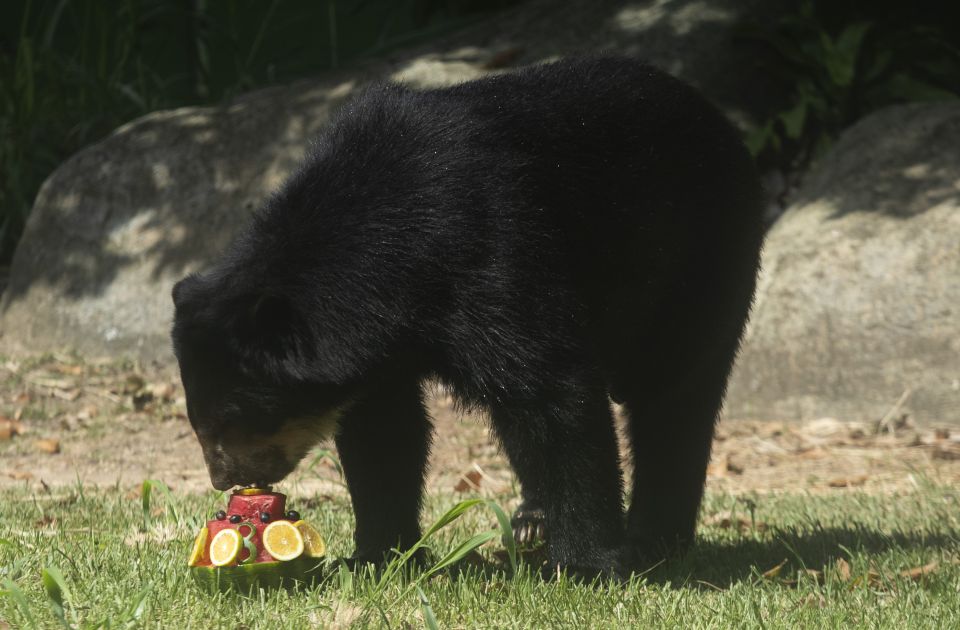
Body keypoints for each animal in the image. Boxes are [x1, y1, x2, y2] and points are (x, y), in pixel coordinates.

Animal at [174, 56, 764, 580]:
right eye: (200, 422)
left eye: (234, 419)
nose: (226, 479)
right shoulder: (378, 345)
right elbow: (385, 430)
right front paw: (375, 557)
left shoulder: (495, 248)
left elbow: (553, 390)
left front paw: (586, 566)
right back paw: (533, 522)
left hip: (700, 258)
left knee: (675, 397)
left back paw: (653, 538)